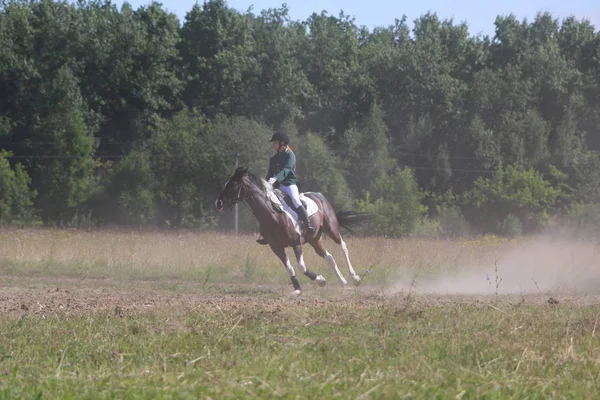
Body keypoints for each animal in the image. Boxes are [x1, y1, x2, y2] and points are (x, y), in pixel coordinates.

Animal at [213, 166, 368, 294]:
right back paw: (343, 282)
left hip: (332, 229)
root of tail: (319, 195)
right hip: (314, 239)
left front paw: (320, 280)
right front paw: (298, 288)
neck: (273, 215)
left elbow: (301, 267)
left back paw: (355, 278)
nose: (218, 203)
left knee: (343, 246)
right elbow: (290, 268)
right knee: (329, 257)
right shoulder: (276, 247)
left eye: (233, 185)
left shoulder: (296, 243)